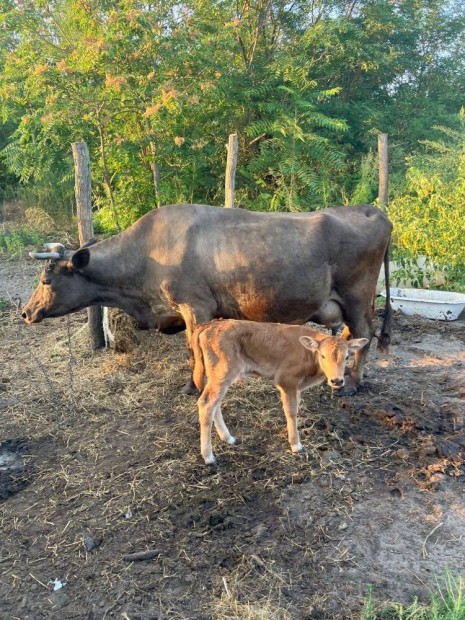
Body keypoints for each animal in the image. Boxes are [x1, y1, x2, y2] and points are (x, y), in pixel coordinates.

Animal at [22, 202, 392, 392]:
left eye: (46, 279)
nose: (26, 312)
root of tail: (370, 209)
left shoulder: (195, 307)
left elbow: (194, 349)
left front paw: (195, 385)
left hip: (357, 296)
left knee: (364, 334)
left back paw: (353, 382)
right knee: (352, 336)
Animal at [191, 320, 366, 464]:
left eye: (346, 357)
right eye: (322, 356)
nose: (337, 381)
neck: (308, 355)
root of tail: (210, 325)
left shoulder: (295, 387)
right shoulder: (286, 381)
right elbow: (291, 411)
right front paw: (295, 444)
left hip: (218, 376)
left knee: (215, 403)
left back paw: (227, 437)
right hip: (223, 372)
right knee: (207, 403)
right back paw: (208, 456)